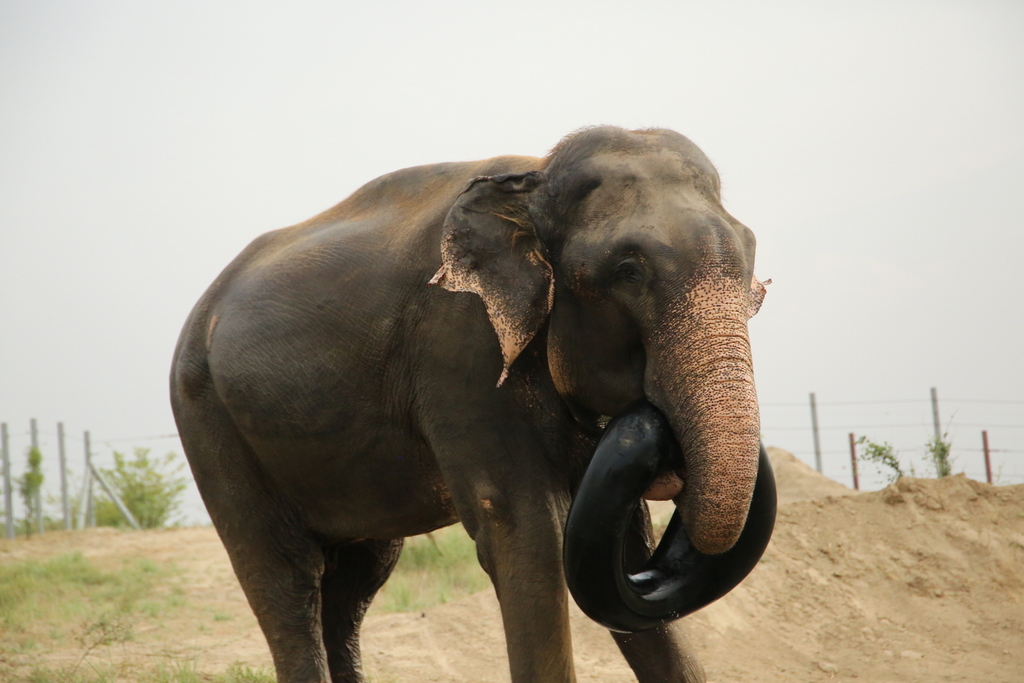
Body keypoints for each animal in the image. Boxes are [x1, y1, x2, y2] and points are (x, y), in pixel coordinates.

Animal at [170, 126, 771, 683]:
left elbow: (624, 547)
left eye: (751, 272)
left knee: (355, 585)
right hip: (207, 420)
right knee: (285, 580)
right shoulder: (458, 344)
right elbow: (527, 531)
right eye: (628, 271)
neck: (534, 179)